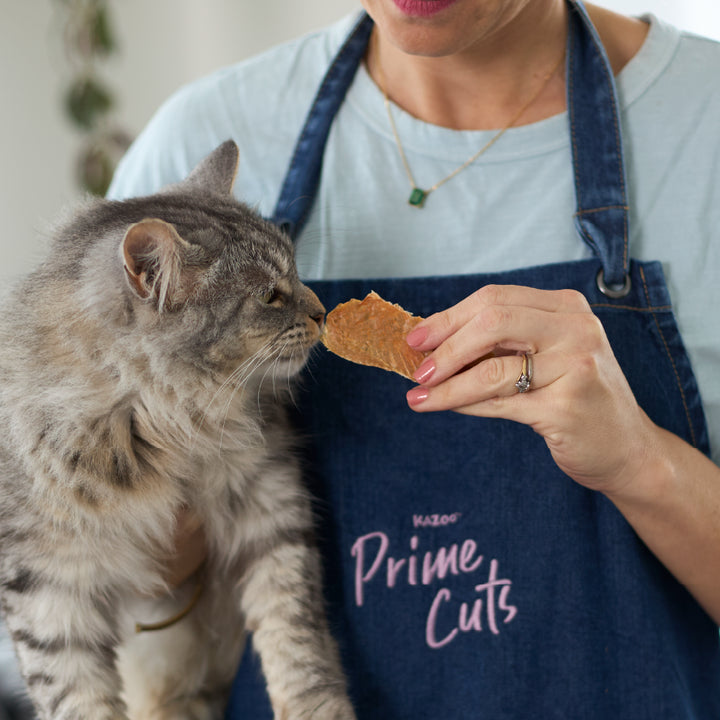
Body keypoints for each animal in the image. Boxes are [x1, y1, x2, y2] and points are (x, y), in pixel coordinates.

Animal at [0, 139, 358, 720]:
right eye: (270, 296)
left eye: (299, 272)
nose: (324, 312)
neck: (159, 424)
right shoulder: (48, 582)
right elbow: (75, 697)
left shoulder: (270, 507)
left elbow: (297, 645)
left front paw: (317, 708)